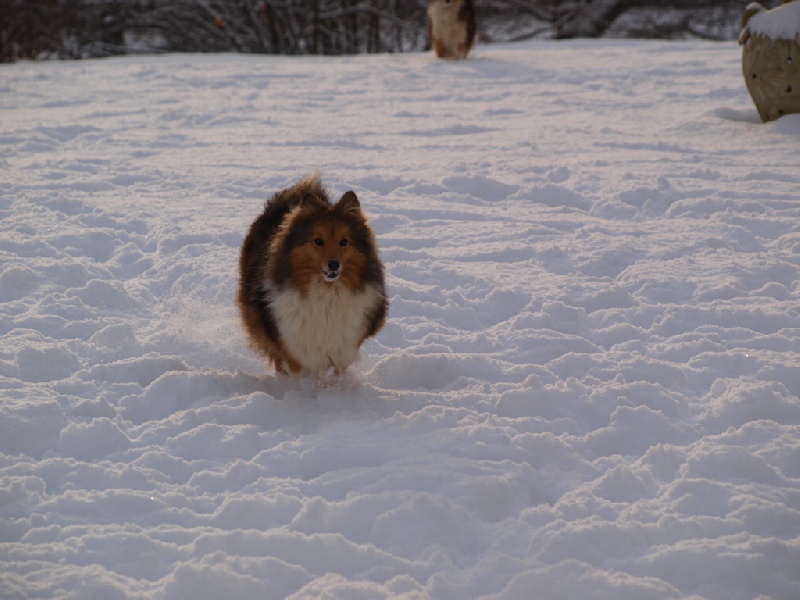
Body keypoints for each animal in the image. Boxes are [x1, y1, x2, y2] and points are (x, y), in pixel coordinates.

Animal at [238, 173, 388, 379]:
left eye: (344, 242)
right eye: (318, 241)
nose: (334, 265)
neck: (326, 291)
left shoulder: (341, 347)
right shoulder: (291, 343)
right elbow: (294, 367)